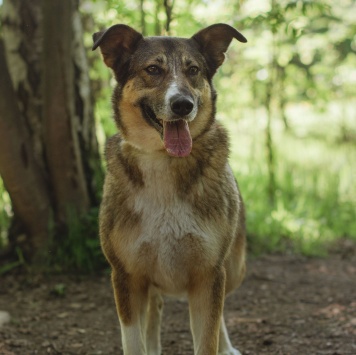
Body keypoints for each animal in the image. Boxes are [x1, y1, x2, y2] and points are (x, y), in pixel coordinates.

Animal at [92, 23, 248, 355]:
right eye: (153, 69)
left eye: (193, 70)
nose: (183, 105)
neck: (163, 159)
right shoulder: (126, 276)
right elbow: (134, 340)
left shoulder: (209, 274)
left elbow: (208, 337)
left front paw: (218, 344)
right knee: (155, 308)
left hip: (234, 268)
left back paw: (227, 346)